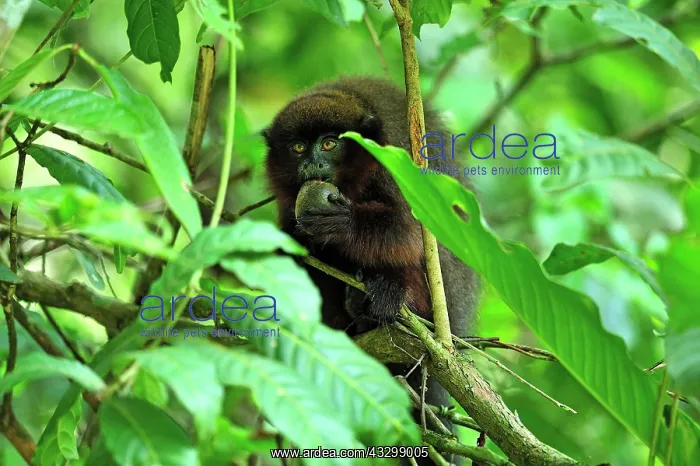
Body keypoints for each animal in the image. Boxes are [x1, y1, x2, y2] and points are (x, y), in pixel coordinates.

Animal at [263, 76, 480, 461]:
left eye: (329, 144)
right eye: (298, 147)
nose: (312, 167)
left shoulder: (392, 159)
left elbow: (413, 231)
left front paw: (341, 222)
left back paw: (387, 298)